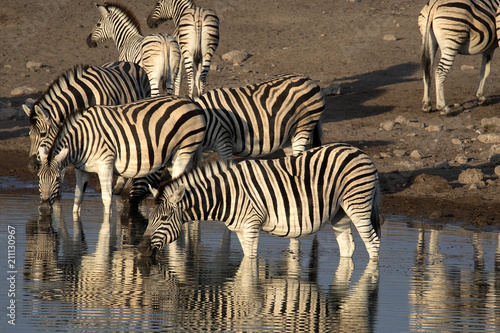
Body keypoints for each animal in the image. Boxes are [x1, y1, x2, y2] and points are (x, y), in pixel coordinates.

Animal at [141, 143, 382, 260]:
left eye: (164, 218)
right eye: (150, 217)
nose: (141, 249)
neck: (226, 195)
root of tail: (361, 153)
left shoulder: (251, 225)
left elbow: (250, 263)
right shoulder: (239, 230)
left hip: (358, 204)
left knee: (373, 244)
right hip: (340, 213)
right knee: (348, 246)